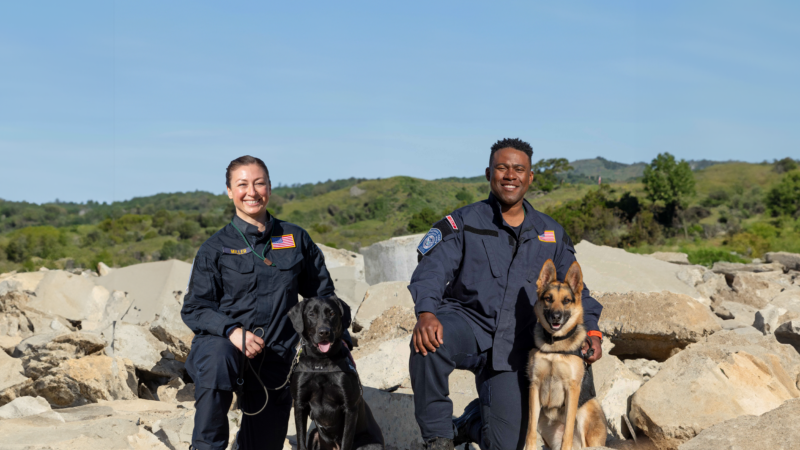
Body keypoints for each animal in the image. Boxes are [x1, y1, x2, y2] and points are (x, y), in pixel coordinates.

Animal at [288, 296, 384, 450]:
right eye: (311, 314)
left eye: (332, 313)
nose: (324, 332)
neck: (321, 362)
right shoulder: (299, 404)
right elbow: (301, 441)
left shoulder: (350, 408)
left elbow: (346, 442)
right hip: (314, 434)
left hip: (369, 445)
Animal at [524, 260, 608, 450]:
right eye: (548, 298)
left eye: (567, 301)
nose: (556, 316)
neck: (555, 346)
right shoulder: (534, 386)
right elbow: (530, 429)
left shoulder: (572, 389)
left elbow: (568, 431)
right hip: (544, 424)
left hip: (587, 410)